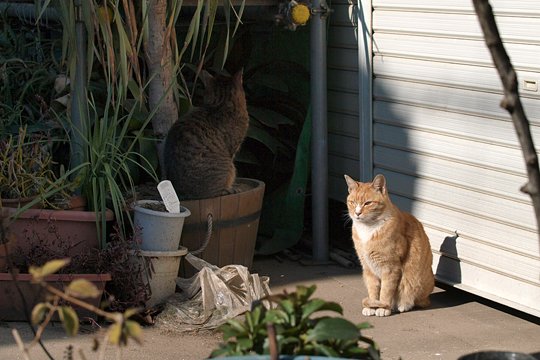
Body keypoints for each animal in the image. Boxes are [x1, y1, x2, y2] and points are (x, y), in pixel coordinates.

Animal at [346, 175, 434, 318]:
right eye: (352, 202)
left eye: (368, 203)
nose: (357, 213)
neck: (368, 228)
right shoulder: (368, 267)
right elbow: (373, 289)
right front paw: (372, 306)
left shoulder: (390, 267)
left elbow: (386, 290)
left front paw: (383, 307)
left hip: (416, 282)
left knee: (416, 299)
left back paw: (402, 305)